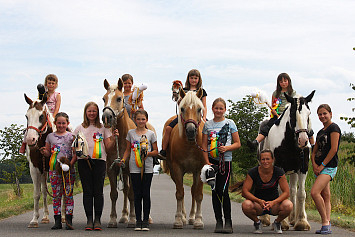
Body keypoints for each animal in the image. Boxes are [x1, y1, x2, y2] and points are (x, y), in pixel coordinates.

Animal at [162, 88, 204, 229]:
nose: (191, 131)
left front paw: (198, 220)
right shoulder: (177, 168)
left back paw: (191, 217)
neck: (190, 144)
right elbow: (180, 193)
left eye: (199, 109)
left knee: (193, 191)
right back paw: (185, 217)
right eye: (182, 109)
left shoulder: (200, 169)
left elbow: (198, 194)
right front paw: (178, 220)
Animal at [260, 90, 316, 231]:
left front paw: (301, 222)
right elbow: (281, 193)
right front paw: (282, 223)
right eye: (292, 114)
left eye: (309, 113)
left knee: (292, 191)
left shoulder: (303, 168)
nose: (303, 140)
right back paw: (265, 219)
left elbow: (301, 193)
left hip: (293, 171)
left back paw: (293, 218)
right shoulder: (279, 168)